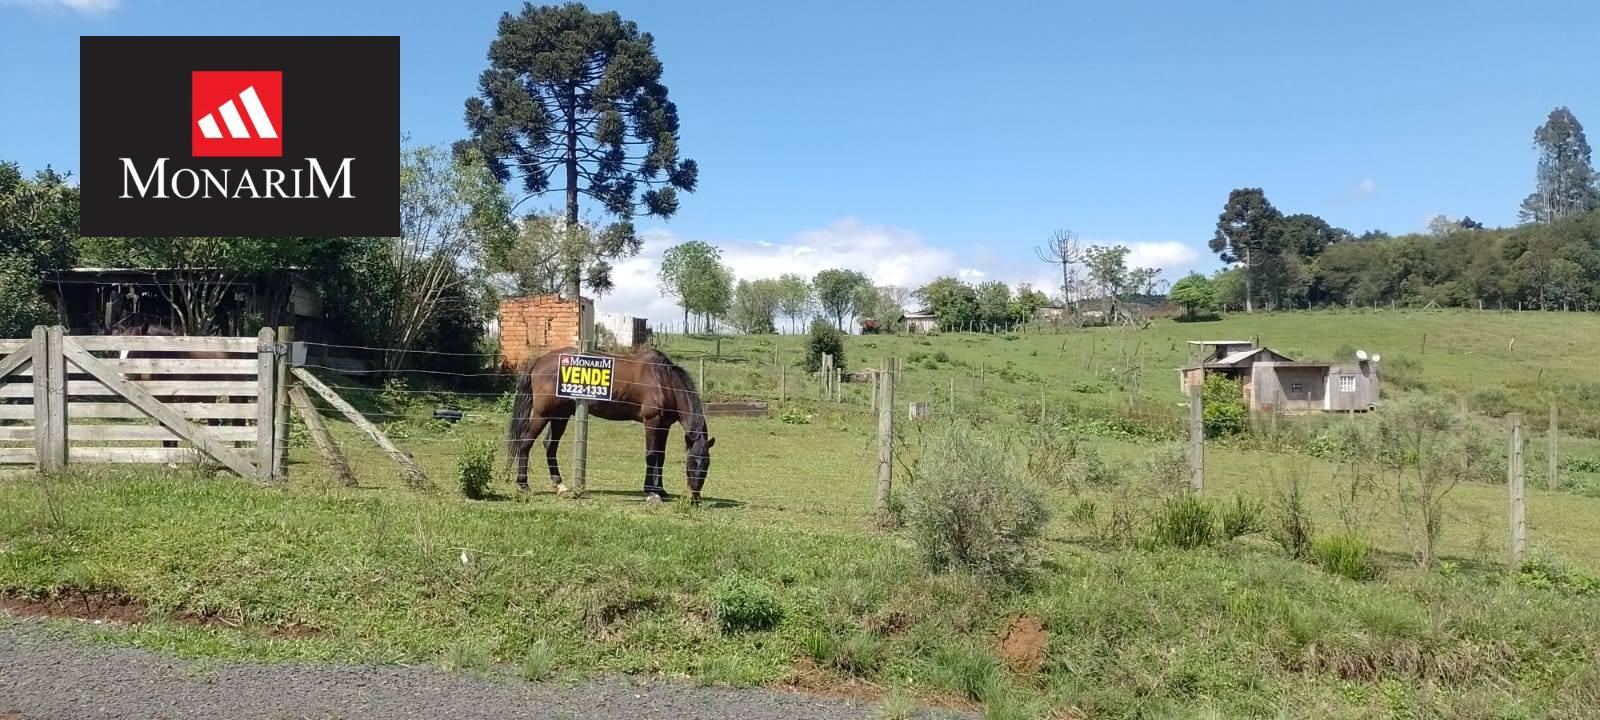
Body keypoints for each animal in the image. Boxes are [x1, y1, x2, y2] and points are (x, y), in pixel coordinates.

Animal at [508, 347, 716, 499]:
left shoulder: (664, 425)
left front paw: (661, 490)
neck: (663, 381)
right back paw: (523, 485)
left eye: (706, 465)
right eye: (691, 463)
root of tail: (540, 360)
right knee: (525, 442)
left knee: (550, 446)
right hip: (542, 414)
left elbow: (660, 457)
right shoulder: (652, 422)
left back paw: (559, 484)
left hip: (560, 415)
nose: (695, 498)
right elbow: (651, 456)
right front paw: (651, 490)